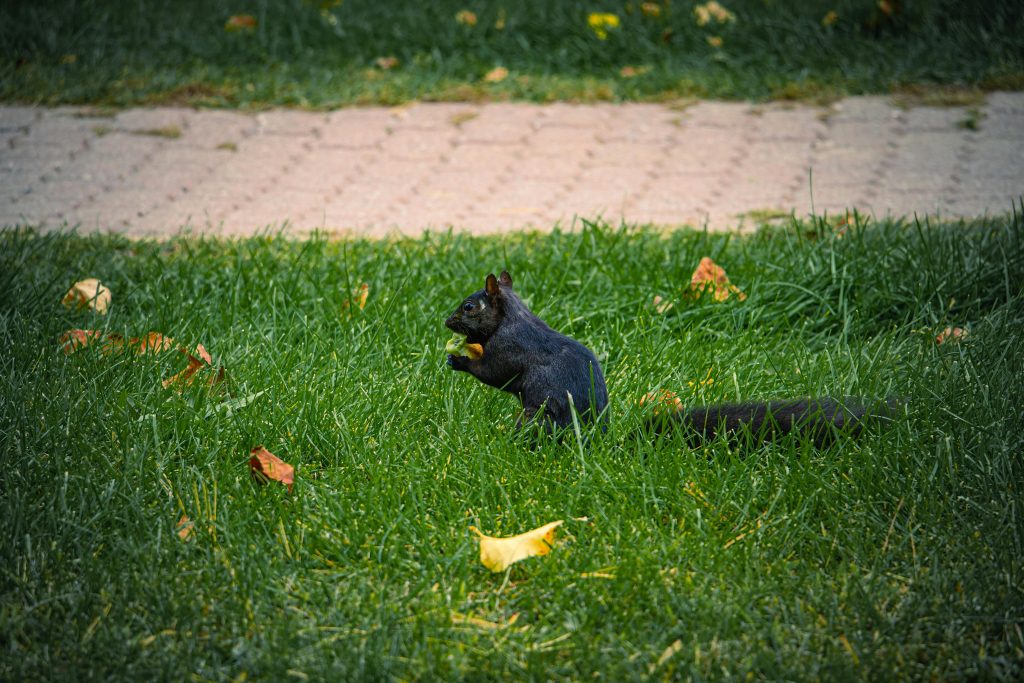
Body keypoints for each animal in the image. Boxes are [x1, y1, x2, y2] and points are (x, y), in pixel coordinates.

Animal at [445, 271, 890, 444]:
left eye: (469, 307)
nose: (447, 321)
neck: (515, 317)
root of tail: (597, 439)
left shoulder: (510, 348)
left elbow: (496, 373)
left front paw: (459, 360)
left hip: (538, 417)